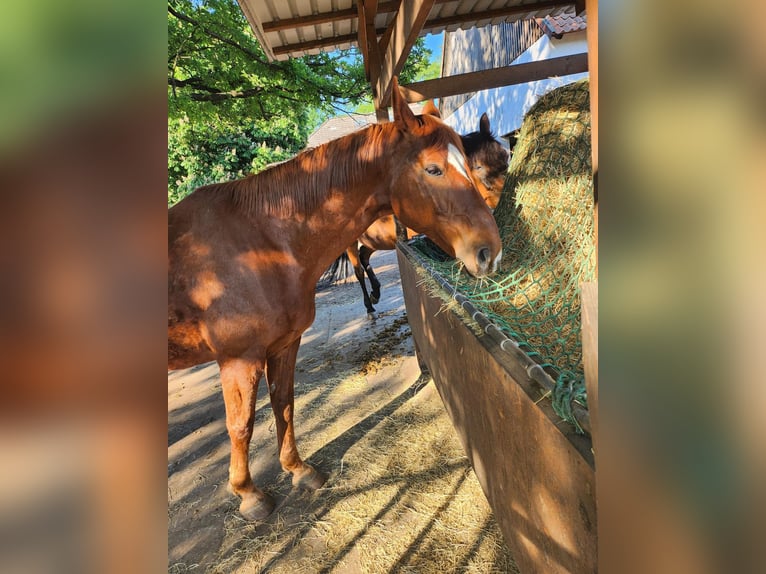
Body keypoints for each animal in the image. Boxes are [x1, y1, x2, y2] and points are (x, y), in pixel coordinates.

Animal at [348, 109, 516, 316]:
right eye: (478, 166)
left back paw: (376, 294)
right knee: (358, 270)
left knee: (364, 256)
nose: (508, 197)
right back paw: (369, 305)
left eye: (505, 155)